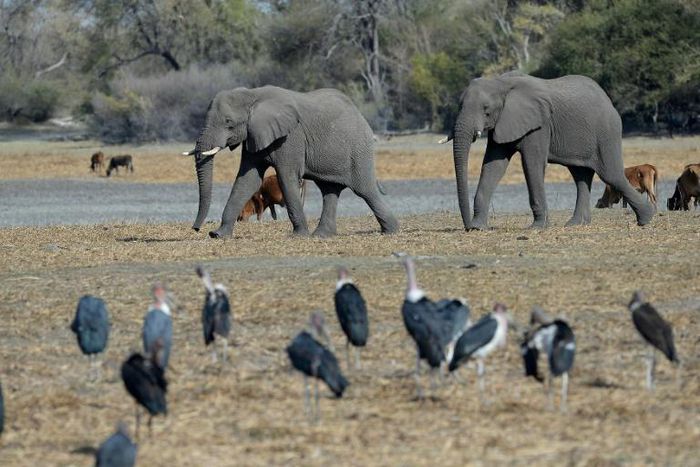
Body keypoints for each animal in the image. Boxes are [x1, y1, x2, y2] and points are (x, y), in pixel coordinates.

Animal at [184, 85, 399, 238]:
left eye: (228, 122)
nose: (196, 229)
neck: (253, 95)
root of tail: (360, 115)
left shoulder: (291, 137)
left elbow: (286, 177)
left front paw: (298, 236)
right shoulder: (254, 135)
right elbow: (247, 179)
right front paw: (218, 235)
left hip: (359, 150)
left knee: (365, 190)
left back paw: (391, 230)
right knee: (329, 191)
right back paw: (321, 236)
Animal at [442, 71, 655, 230]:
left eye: (486, 110)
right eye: (459, 106)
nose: (467, 226)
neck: (501, 82)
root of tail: (609, 101)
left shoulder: (539, 125)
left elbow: (531, 163)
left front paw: (537, 227)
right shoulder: (504, 122)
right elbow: (494, 165)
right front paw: (478, 227)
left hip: (607, 132)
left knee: (611, 175)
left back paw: (646, 219)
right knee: (581, 175)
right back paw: (576, 224)